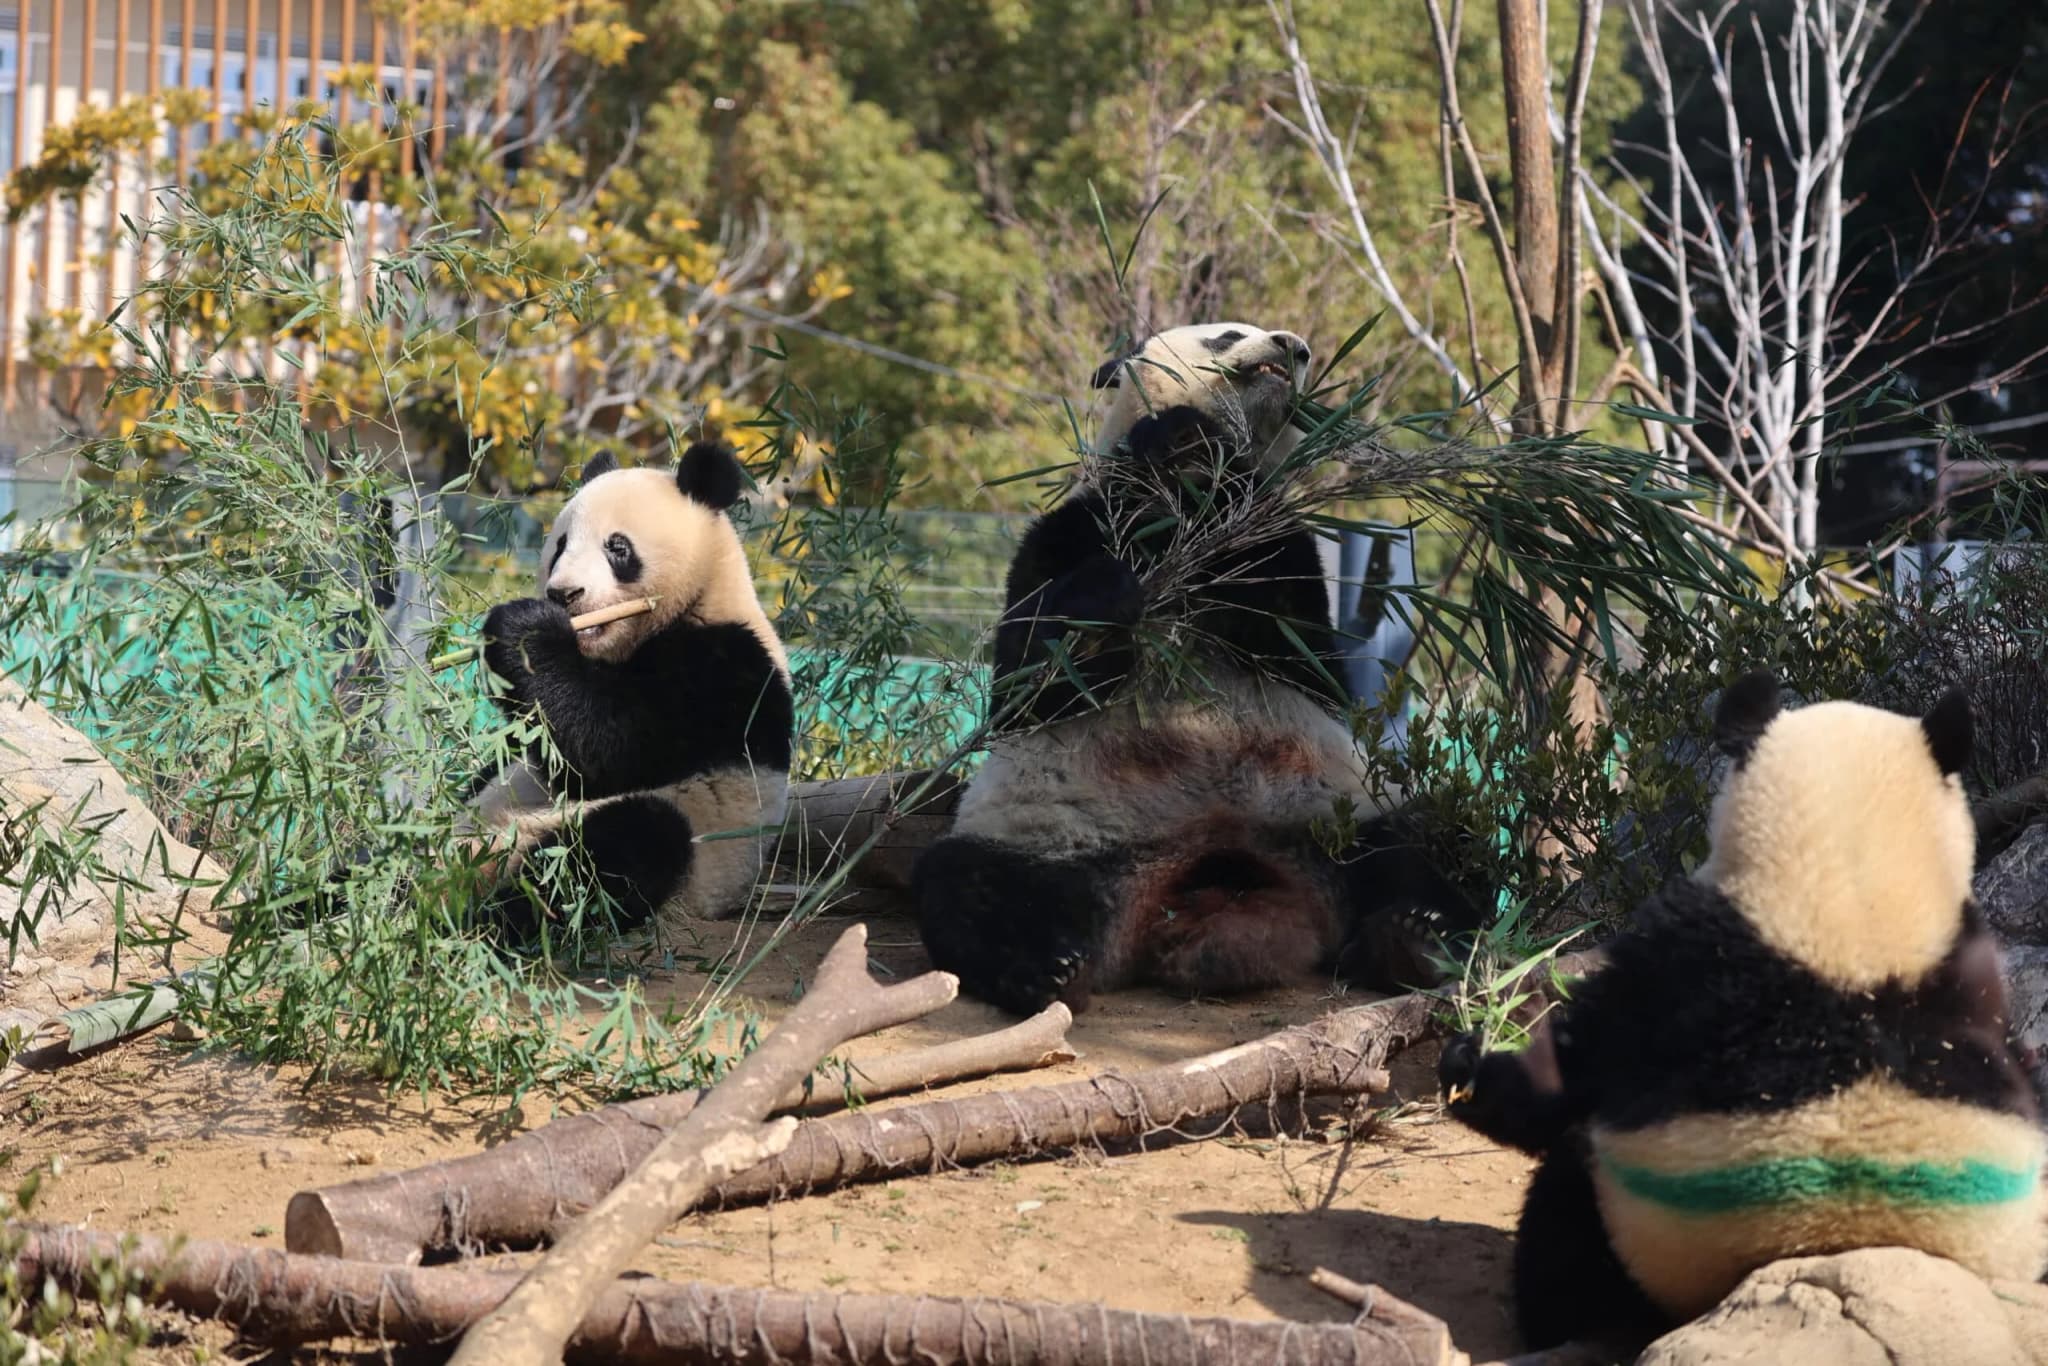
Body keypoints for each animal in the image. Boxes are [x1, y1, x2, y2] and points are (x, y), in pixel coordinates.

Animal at [467, 442, 794, 938]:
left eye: (617, 547)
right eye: (560, 545)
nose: (563, 594)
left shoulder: (723, 671)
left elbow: (603, 753)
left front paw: (523, 631)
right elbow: (534, 749)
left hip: (691, 854)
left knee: (623, 847)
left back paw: (490, 919)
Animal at [914, 322, 1484, 1016]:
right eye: (1227, 335)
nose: (1293, 345)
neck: (1185, 516)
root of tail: (1206, 870)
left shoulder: (1281, 541)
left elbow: (1313, 662)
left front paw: (1202, 453)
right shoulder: (1079, 524)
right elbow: (1025, 683)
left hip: (1343, 812)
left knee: (1433, 845)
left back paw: (1414, 940)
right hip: (1049, 832)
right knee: (968, 883)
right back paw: (1044, 970)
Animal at [1438, 671, 2048, 1352]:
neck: (1850, 884)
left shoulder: (1671, 969)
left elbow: (1560, 1084)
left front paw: (1467, 1066)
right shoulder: (1971, 969)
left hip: (1640, 1240)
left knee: (1564, 1206)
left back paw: (1551, 1321)